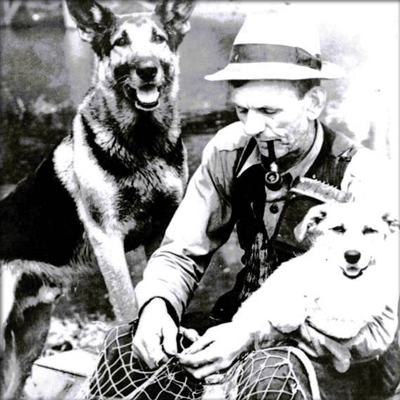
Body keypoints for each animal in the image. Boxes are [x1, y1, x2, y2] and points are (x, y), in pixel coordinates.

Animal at [0, 0, 194, 396]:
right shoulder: (108, 240)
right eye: (120, 42)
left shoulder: (161, 232)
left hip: (29, 341)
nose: (147, 70)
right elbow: (129, 306)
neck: (142, 146)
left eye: (159, 38)